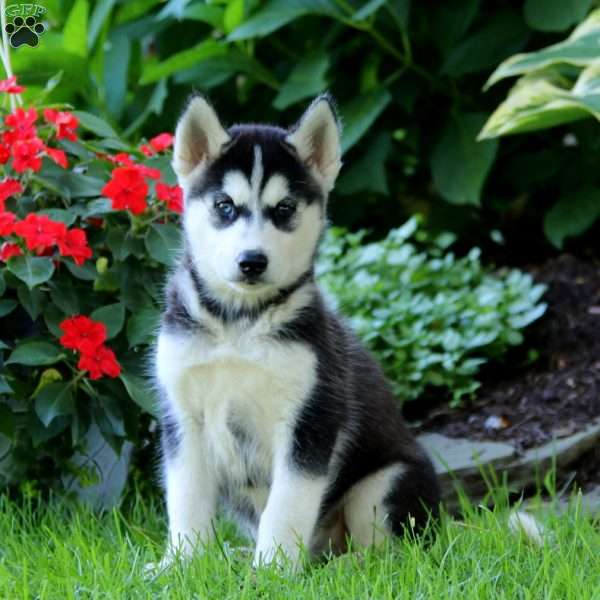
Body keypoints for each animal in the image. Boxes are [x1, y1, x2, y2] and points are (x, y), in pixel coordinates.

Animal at [152, 94, 438, 568]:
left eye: (284, 209)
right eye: (225, 206)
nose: (252, 261)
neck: (239, 324)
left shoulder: (310, 418)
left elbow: (286, 506)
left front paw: (271, 569)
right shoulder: (183, 417)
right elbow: (186, 500)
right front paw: (182, 564)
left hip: (383, 484)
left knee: (390, 553)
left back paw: (341, 566)